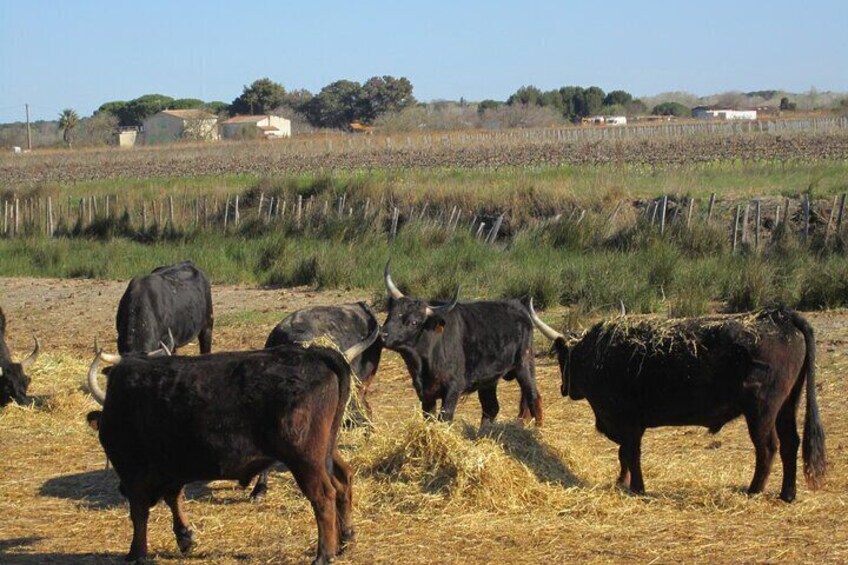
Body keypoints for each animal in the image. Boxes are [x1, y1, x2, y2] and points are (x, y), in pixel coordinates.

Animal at [87, 328, 378, 560]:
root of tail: (315, 354)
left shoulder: (133, 471)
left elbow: (139, 513)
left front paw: (136, 553)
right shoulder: (172, 468)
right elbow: (173, 498)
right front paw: (184, 537)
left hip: (305, 459)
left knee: (324, 496)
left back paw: (324, 555)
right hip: (327, 451)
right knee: (343, 480)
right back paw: (345, 539)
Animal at [380, 262, 544, 426]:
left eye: (413, 322)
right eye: (391, 314)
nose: (382, 334)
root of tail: (518, 307)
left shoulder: (453, 388)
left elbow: (445, 418)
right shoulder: (426, 395)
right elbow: (430, 419)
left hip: (524, 365)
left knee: (534, 398)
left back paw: (538, 428)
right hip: (488, 380)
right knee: (491, 407)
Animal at [528, 302, 828, 500]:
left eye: (561, 358)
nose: (564, 389)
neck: (598, 355)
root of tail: (781, 316)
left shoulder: (628, 423)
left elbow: (630, 453)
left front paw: (637, 487)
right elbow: (624, 455)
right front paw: (622, 481)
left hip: (761, 410)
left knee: (767, 448)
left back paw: (754, 490)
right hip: (787, 405)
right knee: (790, 443)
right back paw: (787, 493)